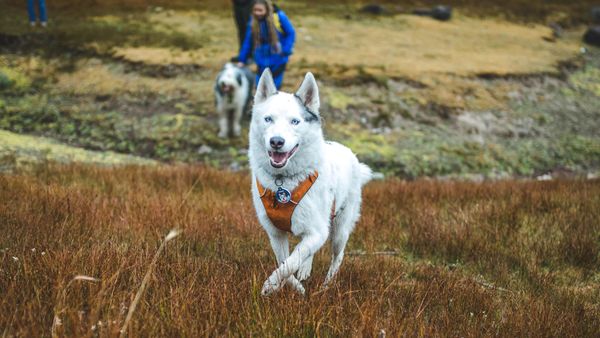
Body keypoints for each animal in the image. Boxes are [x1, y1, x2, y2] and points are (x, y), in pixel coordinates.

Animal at [247, 69, 370, 296]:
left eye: (295, 121)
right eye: (268, 119)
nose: (276, 142)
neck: (283, 181)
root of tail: (350, 154)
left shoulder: (318, 231)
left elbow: (291, 262)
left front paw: (272, 285)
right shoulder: (276, 234)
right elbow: (285, 262)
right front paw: (291, 286)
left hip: (339, 231)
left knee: (337, 257)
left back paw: (327, 285)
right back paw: (306, 270)